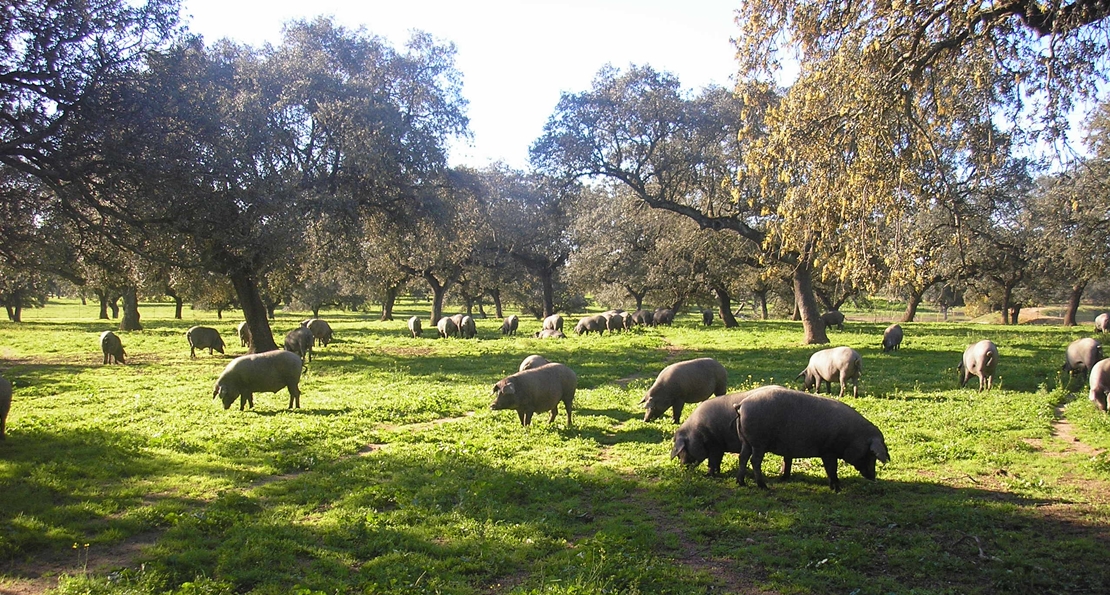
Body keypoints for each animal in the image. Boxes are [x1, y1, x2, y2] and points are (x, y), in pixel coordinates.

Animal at [737, 386, 892, 492]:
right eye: (871, 454)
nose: (873, 477)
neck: (852, 436)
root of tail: (742, 404)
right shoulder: (828, 451)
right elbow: (832, 469)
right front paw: (838, 489)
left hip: (746, 442)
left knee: (742, 457)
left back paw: (741, 483)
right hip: (758, 442)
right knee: (754, 461)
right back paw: (763, 486)